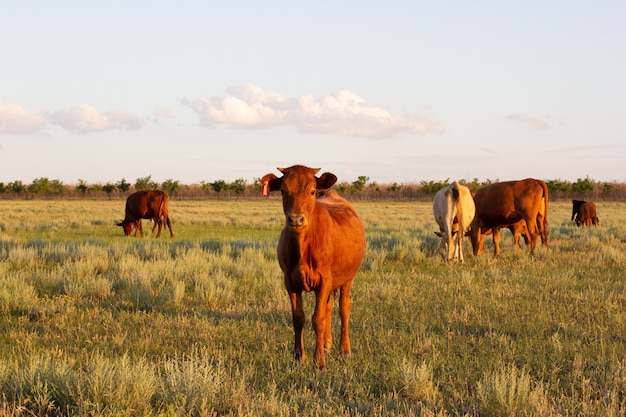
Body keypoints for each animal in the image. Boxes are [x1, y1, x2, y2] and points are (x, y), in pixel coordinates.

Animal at [260, 165, 366, 368]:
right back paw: (326, 343)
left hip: (347, 279)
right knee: (329, 307)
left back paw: (344, 349)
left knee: (343, 309)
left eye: (312, 191)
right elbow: (299, 318)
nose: (295, 219)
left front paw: (319, 361)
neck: (303, 245)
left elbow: (318, 319)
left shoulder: (324, 281)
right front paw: (298, 356)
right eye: (283, 191)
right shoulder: (290, 282)